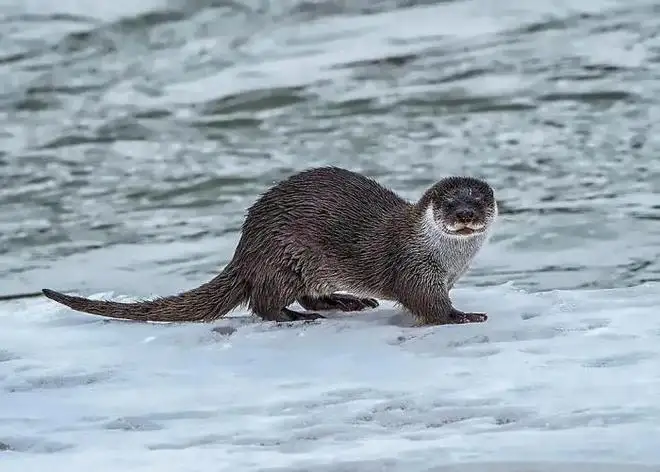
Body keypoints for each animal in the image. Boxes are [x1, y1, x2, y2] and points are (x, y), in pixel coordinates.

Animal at [42, 168, 496, 326]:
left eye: (479, 201)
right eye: (449, 203)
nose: (464, 215)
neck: (448, 260)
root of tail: (245, 248)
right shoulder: (413, 267)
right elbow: (426, 303)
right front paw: (463, 316)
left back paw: (345, 302)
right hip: (284, 258)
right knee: (263, 303)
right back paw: (296, 317)